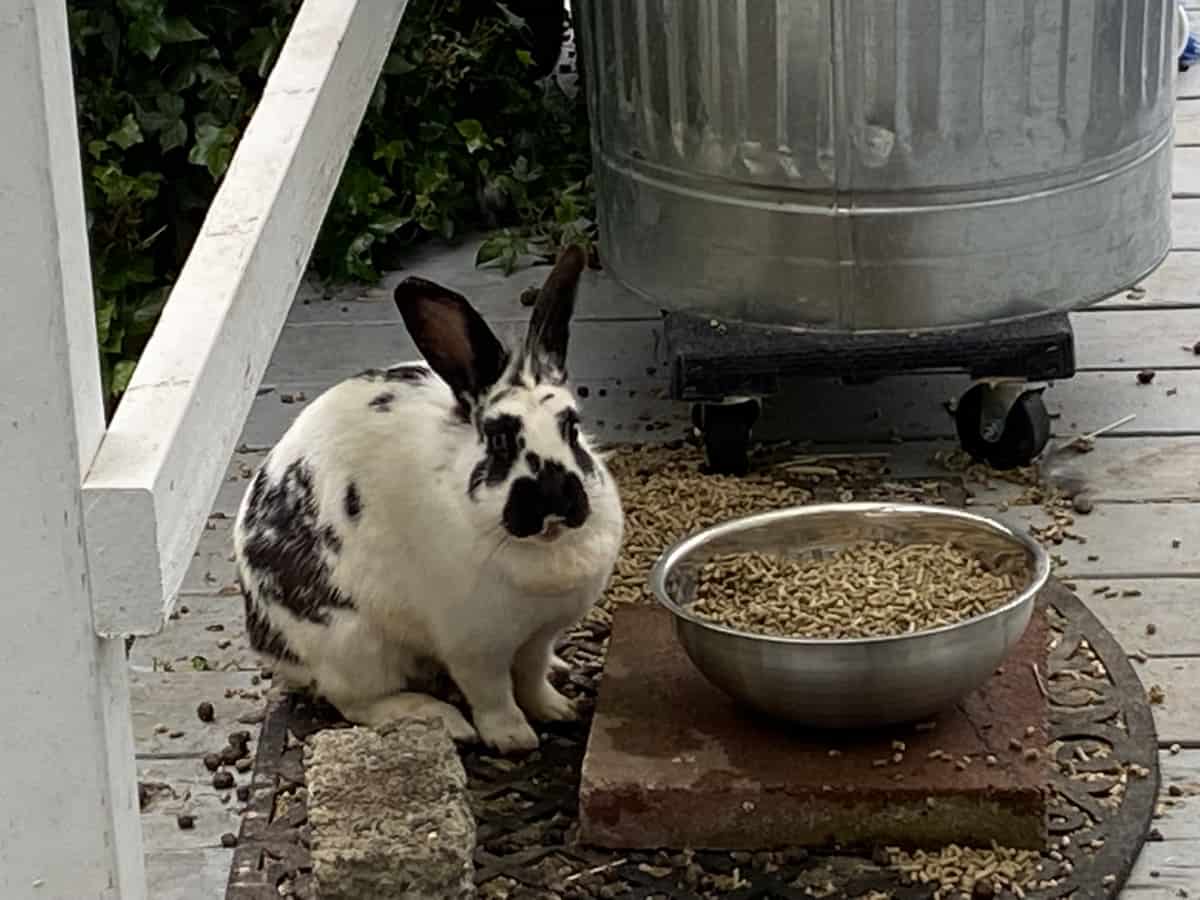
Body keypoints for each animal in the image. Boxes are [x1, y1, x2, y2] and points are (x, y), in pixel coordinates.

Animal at [233, 246, 623, 753]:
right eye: (500, 440)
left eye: (572, 427)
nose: (554, 502)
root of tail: (265, 638)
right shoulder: (475, 646)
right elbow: (492, 693)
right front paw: (513, 738)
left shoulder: (539, 637)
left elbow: (532, 675)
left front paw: (557, 709)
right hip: (353, 644)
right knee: (359, 702)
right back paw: (438, 718)